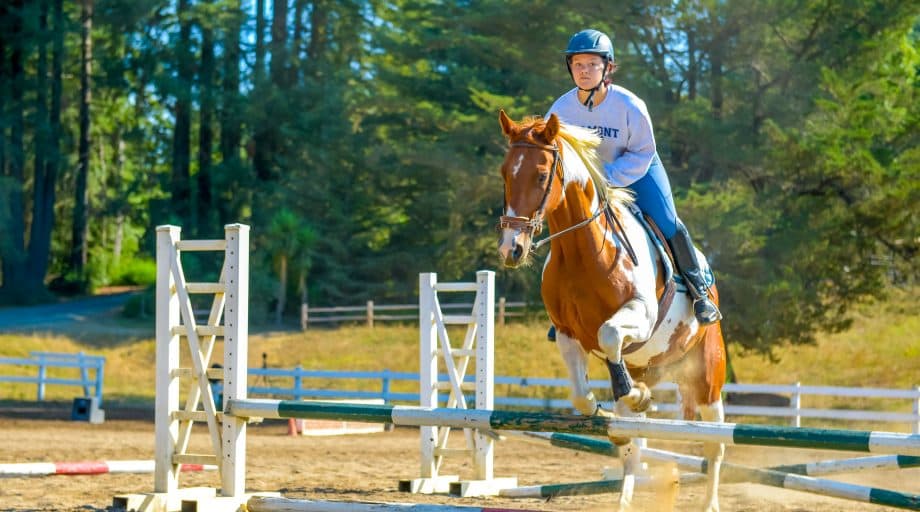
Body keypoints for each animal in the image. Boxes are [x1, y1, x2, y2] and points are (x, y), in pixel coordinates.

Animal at [496, 111, 724, 512]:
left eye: (541, 175)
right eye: (504, 173)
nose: (512, 249)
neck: (581, 252)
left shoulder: (640, 316)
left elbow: (610, 332)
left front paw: (632, 393)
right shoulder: (566, 332)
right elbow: (580, 395)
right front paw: (611, 404)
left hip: (708, 375)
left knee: (715, 442)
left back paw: (709, 502)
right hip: (650, 365)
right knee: (633, 447)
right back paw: (625, 497)